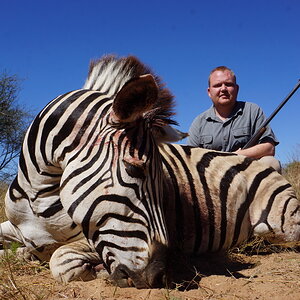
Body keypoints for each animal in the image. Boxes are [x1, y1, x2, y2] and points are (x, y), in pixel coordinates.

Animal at [0, 54, 300, 288]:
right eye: (135, 169)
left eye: (163, 183)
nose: (158, 276)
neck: (38, 194)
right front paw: (23, 253)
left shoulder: (89, 239)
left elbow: (62, 261)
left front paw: (95, 271)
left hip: (280, 223)